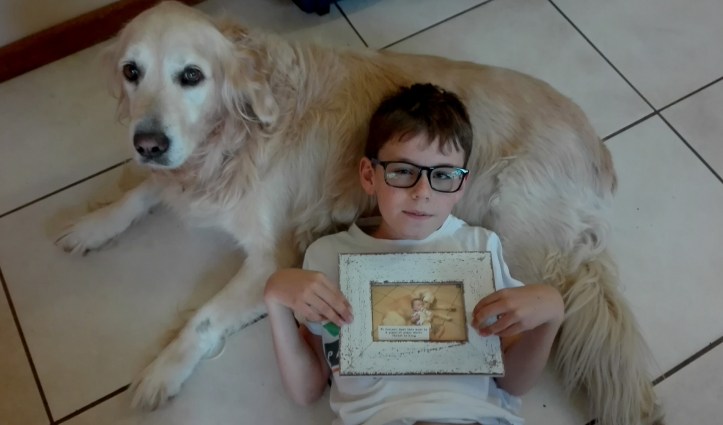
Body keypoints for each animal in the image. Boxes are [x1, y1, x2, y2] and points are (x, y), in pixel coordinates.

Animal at [55, 2, 661, 424]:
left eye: (191, 76)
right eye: (132, 71)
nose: (149, 142)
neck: (234, 138)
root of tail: (598, 149)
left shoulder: (273, 254)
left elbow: (203, 317)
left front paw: (161, 371)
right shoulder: (183, 172)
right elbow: (142, 191)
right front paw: (93, 224)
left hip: (517, 227)